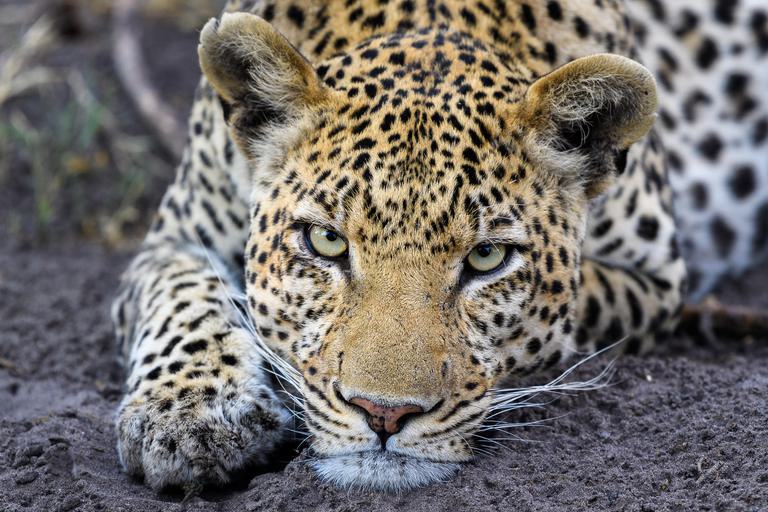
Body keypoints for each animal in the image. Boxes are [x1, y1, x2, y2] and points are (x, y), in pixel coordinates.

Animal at [111, 0, 768, 493]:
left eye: (486, 258)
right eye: (325, 241)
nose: (383, 414)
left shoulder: (658, 278)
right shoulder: (175, 235)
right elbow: (182, 296)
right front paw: (190, 414)